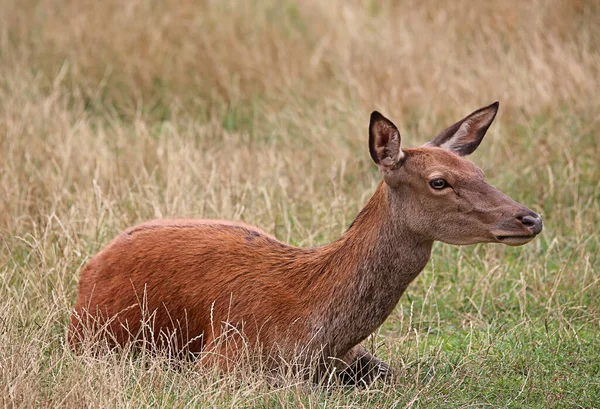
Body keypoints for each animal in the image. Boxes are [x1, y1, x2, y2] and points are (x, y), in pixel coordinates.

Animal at [69, 101, 544, 382]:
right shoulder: (224, 356)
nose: (530, 218)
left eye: (480, 172)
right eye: (439, 181)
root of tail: (92, 265)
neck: (312, 331)